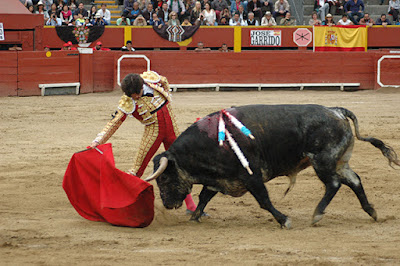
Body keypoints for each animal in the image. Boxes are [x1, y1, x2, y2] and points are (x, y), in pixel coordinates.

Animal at [147, 105, 400, 228]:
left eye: (164, 178)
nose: (167, 204)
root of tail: (336, 111)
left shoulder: (252, 176)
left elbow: (264, 201)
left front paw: (284, 220)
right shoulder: (220, 178)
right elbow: (204, 197)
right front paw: (195, 217)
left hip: (323, 161)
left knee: (335, 184)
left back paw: (317, 214)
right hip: (339, 160)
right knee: (355, 180)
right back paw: (371, 211)